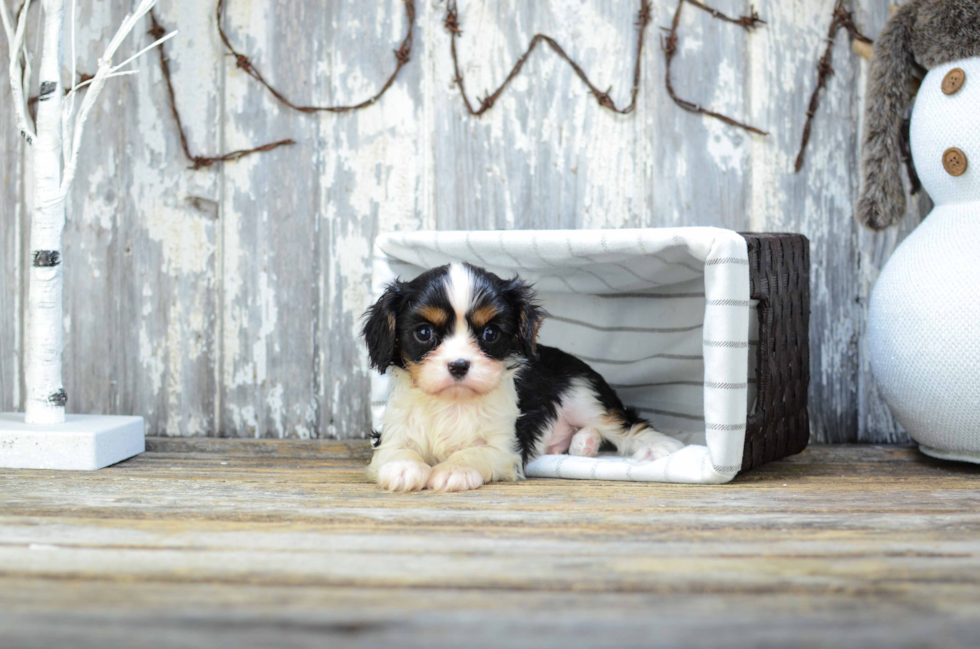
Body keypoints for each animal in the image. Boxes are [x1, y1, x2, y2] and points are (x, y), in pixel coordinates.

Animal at [364, 260, 684, 492]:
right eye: (424, 333)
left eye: (490, 334)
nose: (459, 365)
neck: (453, 402)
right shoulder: (394, 431)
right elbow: (396, 451)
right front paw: (403, 468)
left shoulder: (504, 445)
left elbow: (474, 453)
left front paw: (454, 470)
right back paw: (585, 443)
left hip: (584, 395)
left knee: (624, 426)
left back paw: (658, 446)